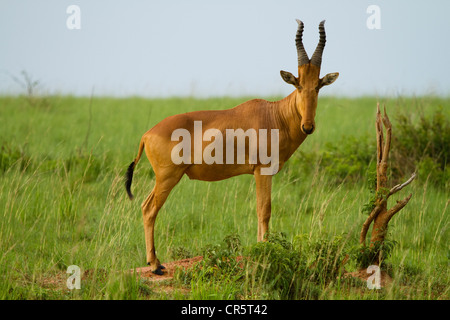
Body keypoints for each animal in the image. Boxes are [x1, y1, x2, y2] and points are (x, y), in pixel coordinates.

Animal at [125, 19, 338, 276]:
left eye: (317, 86)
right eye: (298, 85)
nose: (308, 126)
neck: (274, 114)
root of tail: (147, 135)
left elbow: (260, 210)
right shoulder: (262, 171)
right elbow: (264, 210)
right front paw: (265, 251)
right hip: (168, 177)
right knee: (149, 209)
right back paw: (155, 265)